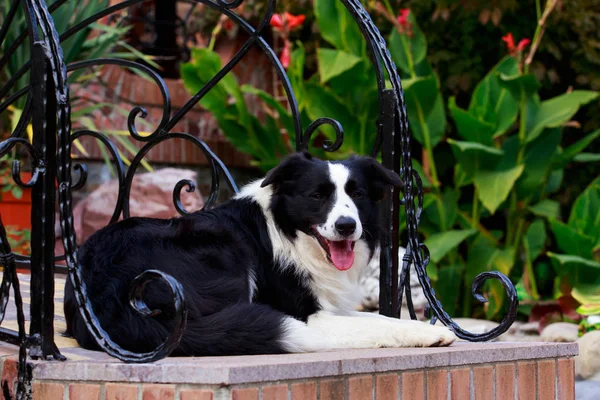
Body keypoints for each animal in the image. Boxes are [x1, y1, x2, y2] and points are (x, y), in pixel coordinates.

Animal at [63, 153, 454, 356]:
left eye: (357, 194)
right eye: (317, 195)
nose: (346, 226)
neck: (290, 234)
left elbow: (382, 318)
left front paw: (424, 329)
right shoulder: (308, 315)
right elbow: (375, 324)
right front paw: (425, 333)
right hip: (224, 251)